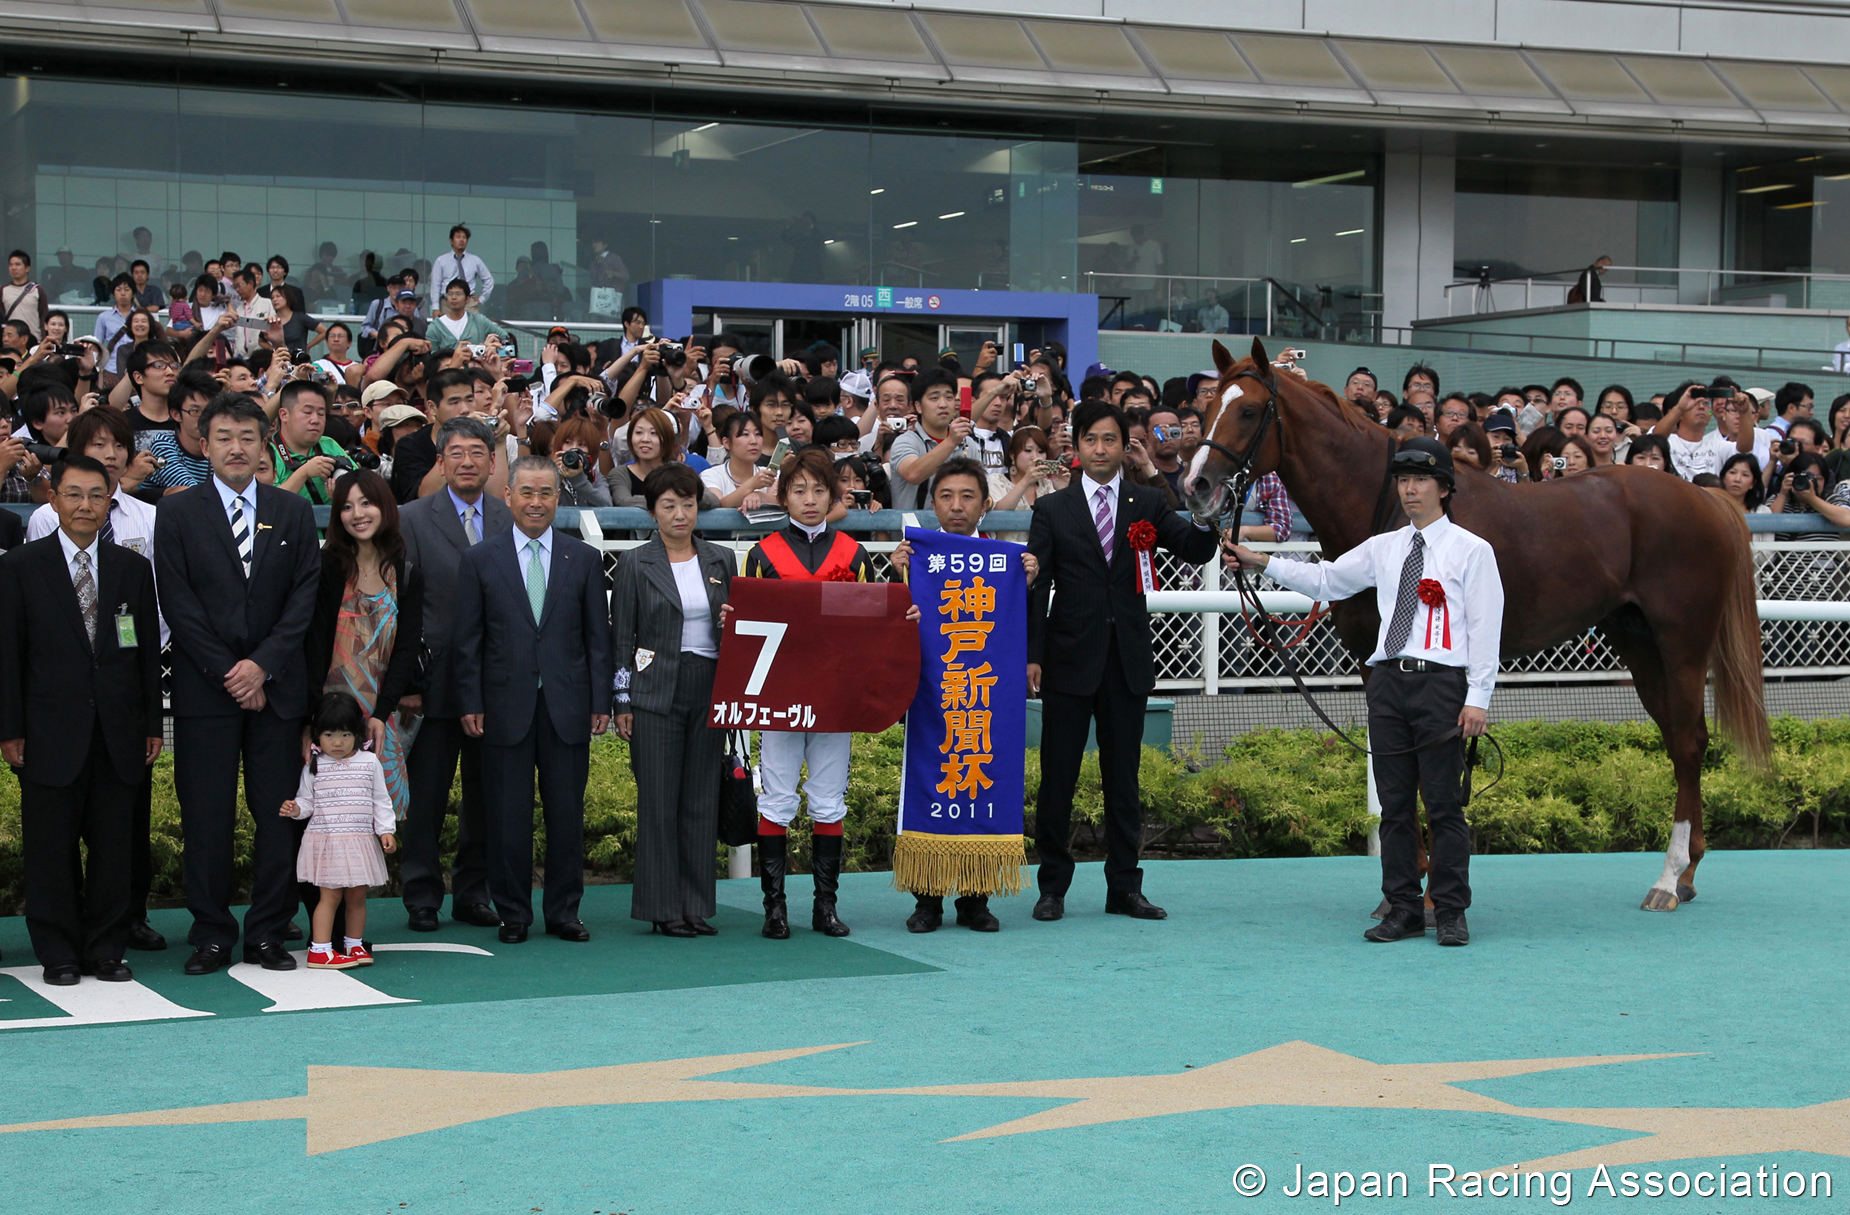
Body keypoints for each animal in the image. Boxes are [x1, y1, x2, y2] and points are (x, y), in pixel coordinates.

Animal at [1191, 336, 1768, 906]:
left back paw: (1668, 879)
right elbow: (1393, 759)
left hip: (1682, 642)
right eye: (1207, 408)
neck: (1392, 508)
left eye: (1247, 410)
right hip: (1639, 642)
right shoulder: (1374, 663)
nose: (1196, 485)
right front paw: (1407, 887)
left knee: (1689, 742)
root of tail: (1704, 498)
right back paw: (1687, 871)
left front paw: (1426, 894)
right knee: (1679, 737)